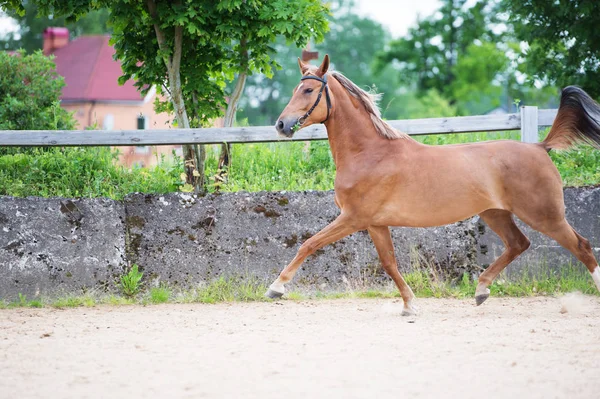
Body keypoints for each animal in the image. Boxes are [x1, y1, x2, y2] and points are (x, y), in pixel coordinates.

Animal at [268, 54, 600, 316]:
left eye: (308, 89)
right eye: (295, 89)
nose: (281, 125)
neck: (371, 153)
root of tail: (539, 148)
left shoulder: (353, 218)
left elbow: (309, 243)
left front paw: (276, 288)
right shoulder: (375, 223)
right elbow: (389, 263)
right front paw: (409, 305)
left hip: (545, 215)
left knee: (581, 246)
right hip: (495, 213)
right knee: (519, 244)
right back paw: (481, 291)